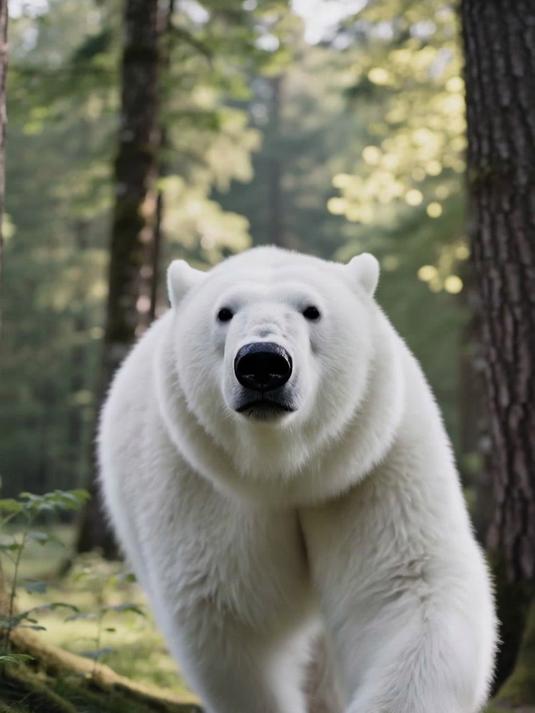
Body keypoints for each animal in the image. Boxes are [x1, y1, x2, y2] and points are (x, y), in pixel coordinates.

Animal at [98, 246, 496, 713]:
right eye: (224, 312)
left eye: (312, 310)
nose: (263, 362)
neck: (287, 471)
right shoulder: (200, 485)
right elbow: (231, 618)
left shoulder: (369, 466)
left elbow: (406, 586)